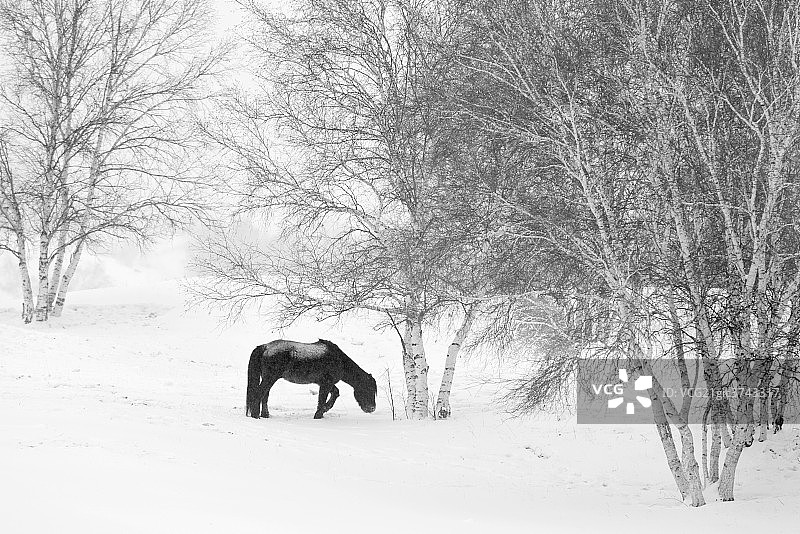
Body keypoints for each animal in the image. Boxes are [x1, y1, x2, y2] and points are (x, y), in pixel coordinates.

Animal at [246, 339, 377, 419]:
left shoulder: (324, 383)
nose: (372, 408)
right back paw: (256, 415)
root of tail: (265, 347)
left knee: (264, 395)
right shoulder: (326, 384)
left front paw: (325, 409)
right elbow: (321, 400)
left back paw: (265, 415)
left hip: (268, 378)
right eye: (368, 389)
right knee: (258, 393)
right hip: (270, 378)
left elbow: (335, 393)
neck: (339, 360)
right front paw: (319, 414)